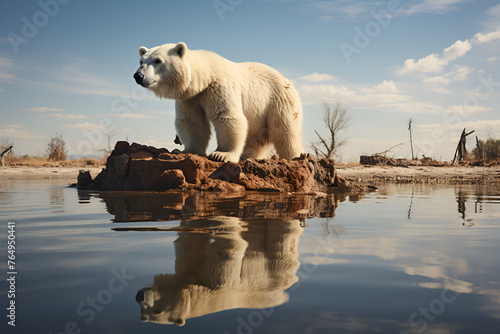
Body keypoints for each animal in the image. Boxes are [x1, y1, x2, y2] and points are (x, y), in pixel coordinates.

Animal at [134, 42, 304, 162]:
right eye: (141, 61)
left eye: (157, 60)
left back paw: (295, 156)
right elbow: (191, 121)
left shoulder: (220, 87)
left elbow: (227, 117)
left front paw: (221, 154)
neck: (205, 78)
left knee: (286, 129)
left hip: (278, 99)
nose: (138, 76)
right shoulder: (190, 98)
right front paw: (186, 150)